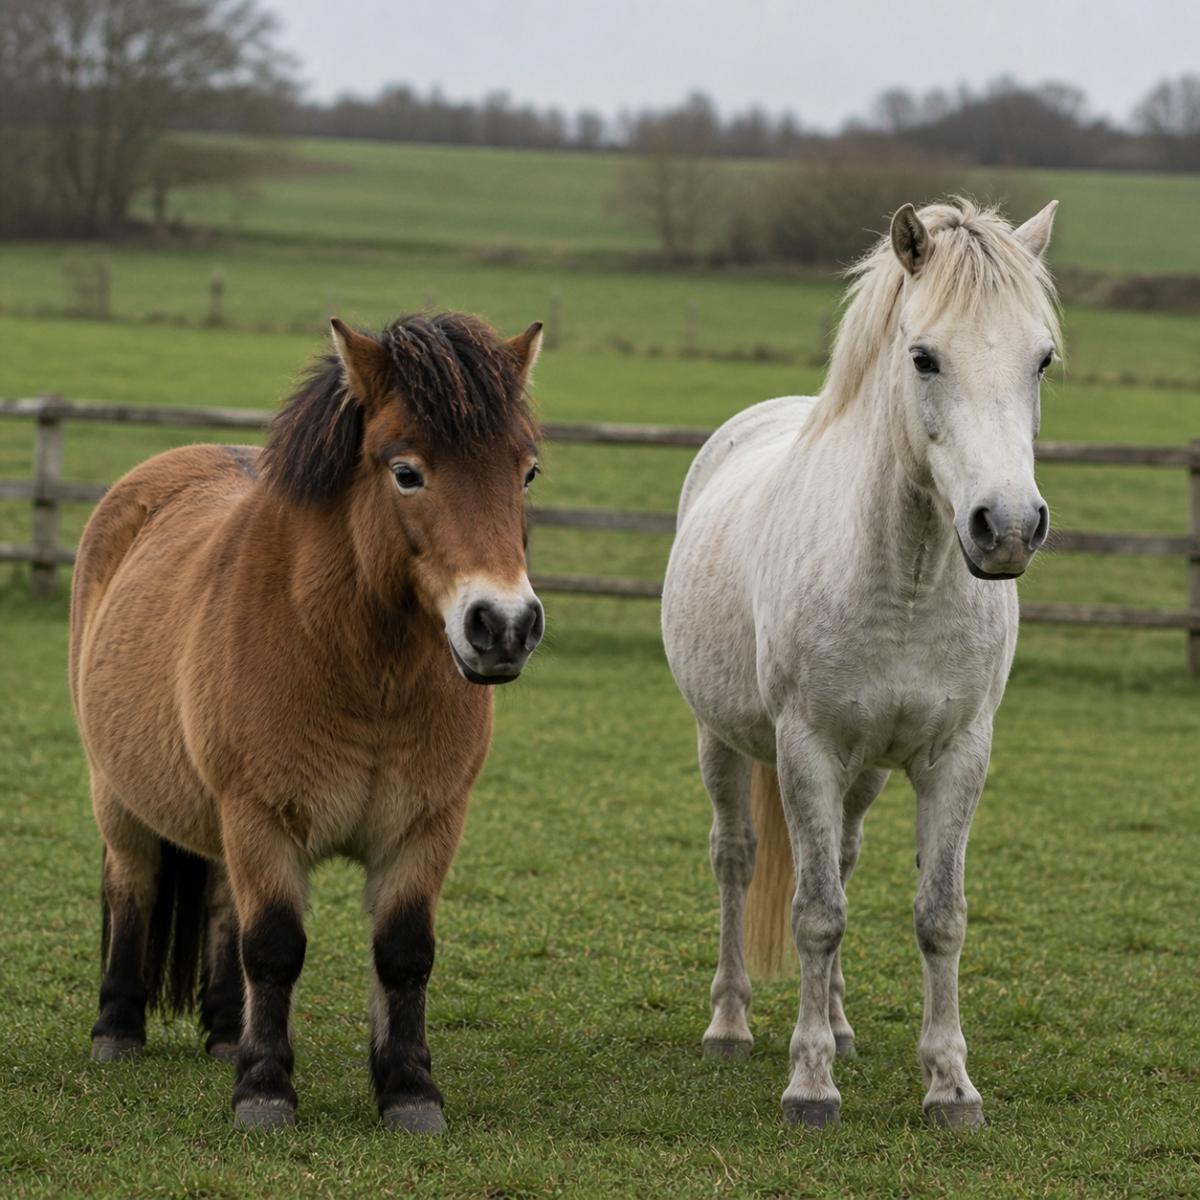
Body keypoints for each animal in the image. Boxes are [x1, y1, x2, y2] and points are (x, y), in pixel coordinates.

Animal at [69, 311, 546, 1132]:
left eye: (527, 473)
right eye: (407, 472)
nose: (504, 625)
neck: (362, 671)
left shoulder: (425, 826)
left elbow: (403, 954)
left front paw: (409, 1091)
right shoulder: (263, 818)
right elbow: (274, 948)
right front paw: (264, 1091)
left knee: (221, 905)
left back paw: (225, 1031)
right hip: (120, 798)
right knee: (132, 886)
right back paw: (118, 1029)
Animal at [662, 199, 1060, 1129]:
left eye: (1042, 358)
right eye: (924, 357)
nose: (1007, 527)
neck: (903, 578)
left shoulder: (957, 756)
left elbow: (938, 914)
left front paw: (950, 1086)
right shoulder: (805, 750)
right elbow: (814, 913)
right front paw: (809, 1085)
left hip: (867, 773)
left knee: (839, 857)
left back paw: (840, 1026)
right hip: (721, 742)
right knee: (736, 860)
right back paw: (731, 1025)